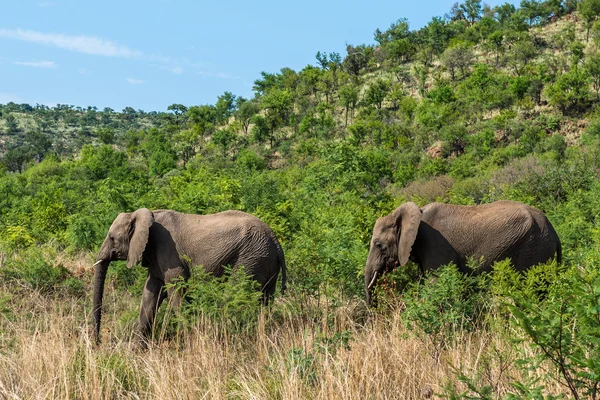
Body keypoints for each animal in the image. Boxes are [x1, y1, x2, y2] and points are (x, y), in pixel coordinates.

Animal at [92, 208, 288, 342]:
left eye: (112, 238)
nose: (97, 343)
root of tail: (276, 241)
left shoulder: (167, 250)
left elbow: (176, 290)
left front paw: (188, 340)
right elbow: (150, 293)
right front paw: (136, 351)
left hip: (250, 259)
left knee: (237, 296)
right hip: (264, 260)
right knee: (265, 300)